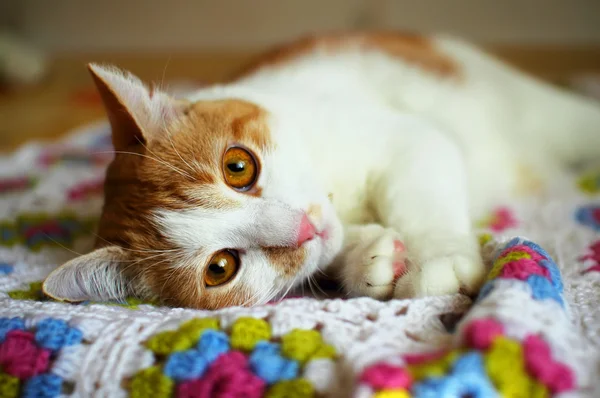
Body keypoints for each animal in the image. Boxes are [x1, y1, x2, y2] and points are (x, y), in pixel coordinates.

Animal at [42, 32, 600, 310]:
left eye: (238, 166)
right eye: (220, 268)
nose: (303, 228)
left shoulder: (409, 137)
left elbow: (419, 193)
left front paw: (438, 257)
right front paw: (370, 259)